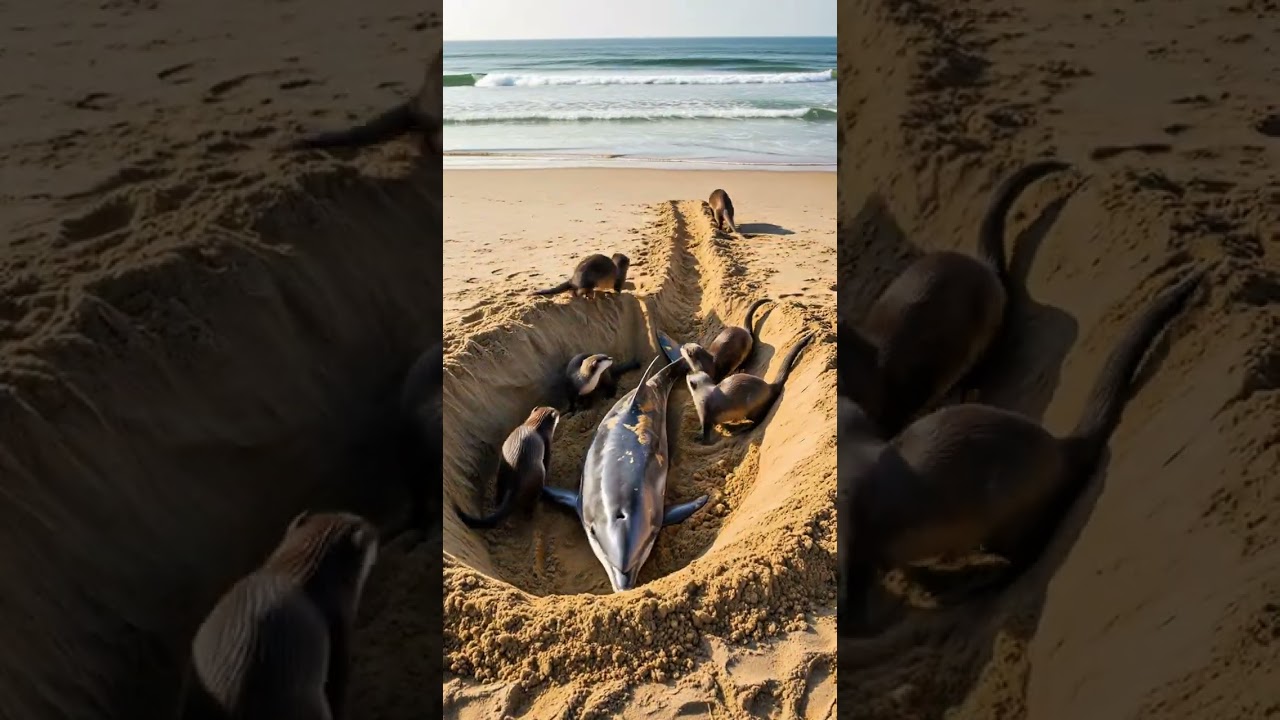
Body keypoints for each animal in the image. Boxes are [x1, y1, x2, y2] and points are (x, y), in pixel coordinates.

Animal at [683, 332, 815, 444]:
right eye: (691, 373)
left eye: (689, 378)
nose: (687, 373)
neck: (703, 395)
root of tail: (768, 387)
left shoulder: (705, 413)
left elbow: (706, 433)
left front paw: (699, 438)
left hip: (751, 408)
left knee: (758, 421)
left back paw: (742, 429)